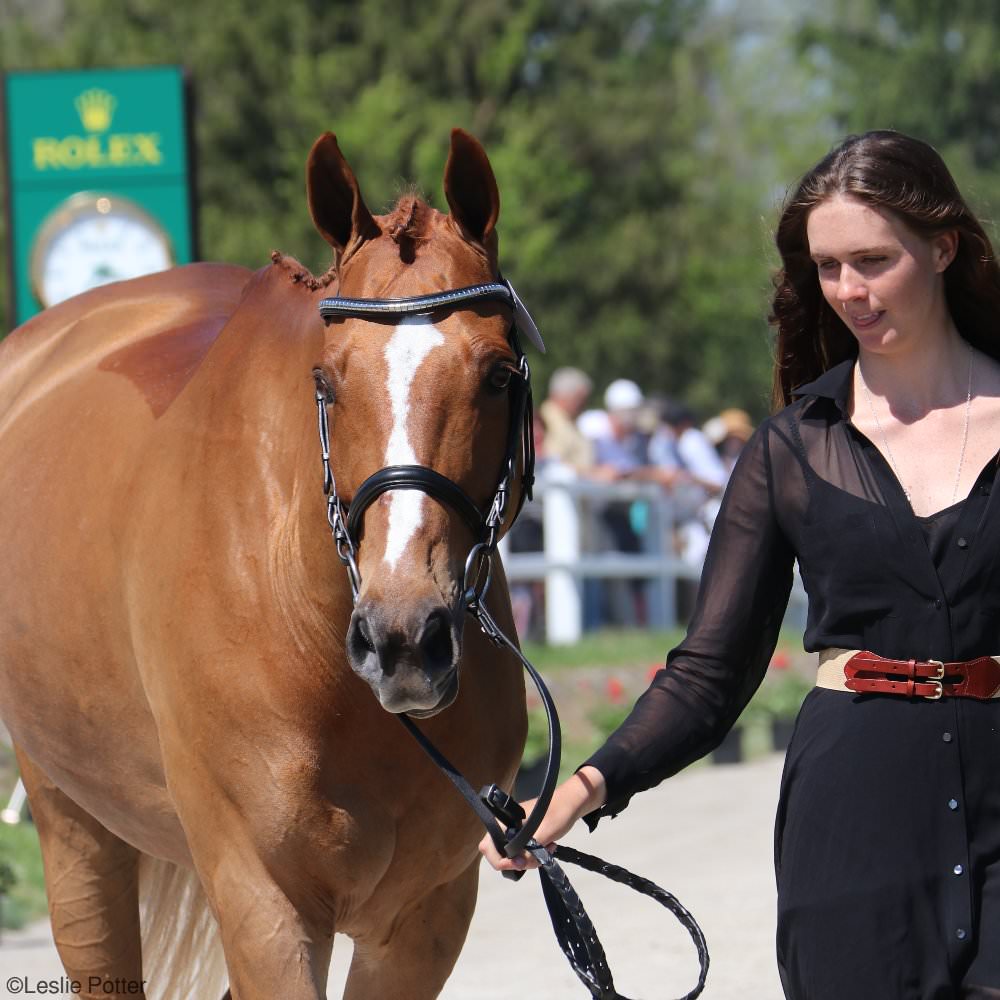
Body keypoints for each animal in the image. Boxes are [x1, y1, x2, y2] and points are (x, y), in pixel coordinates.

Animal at [0, 133, 536, 1000]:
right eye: (326, 379)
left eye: (496, 374)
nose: (403, 639)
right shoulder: (264, 903)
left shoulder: (428, 916)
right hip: (72, 824)